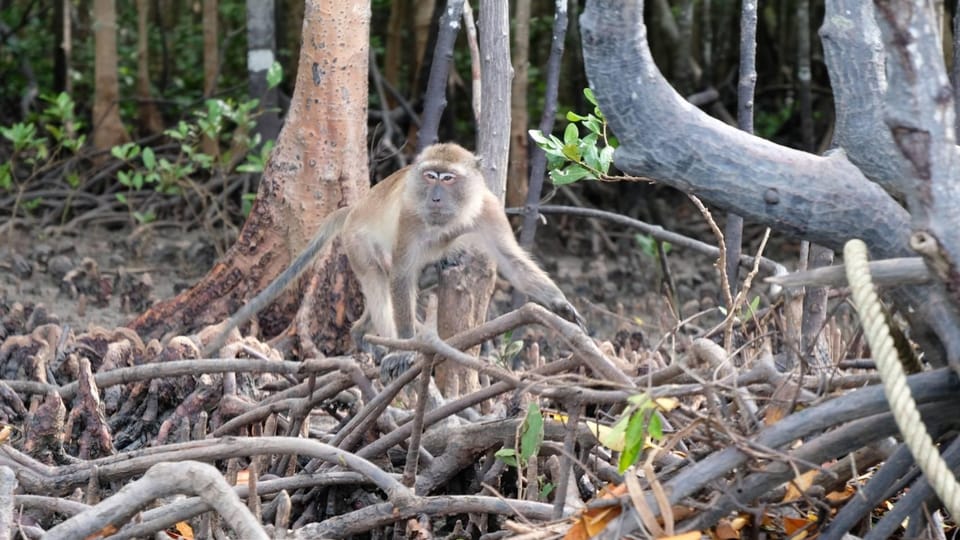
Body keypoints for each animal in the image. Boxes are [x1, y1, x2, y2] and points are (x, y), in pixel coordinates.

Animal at [201, 141, 584, 374]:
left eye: (448, 178)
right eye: (431, 176)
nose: (434, 197)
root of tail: (354, 210)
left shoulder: (488, 208)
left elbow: (512, 262)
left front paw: (562, 307)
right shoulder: (410, 214)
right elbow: (401, 277)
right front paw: (407, 351)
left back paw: (363, 331)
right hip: (358, 244)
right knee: (381, 282)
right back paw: (385, 344)